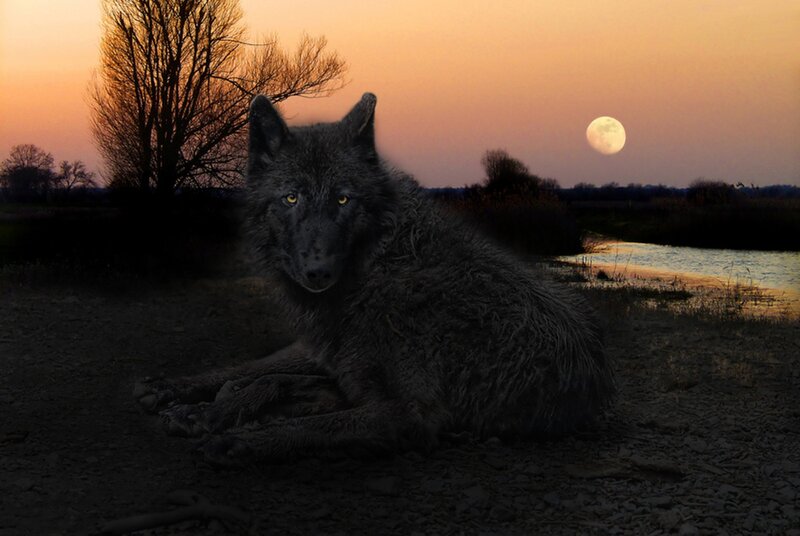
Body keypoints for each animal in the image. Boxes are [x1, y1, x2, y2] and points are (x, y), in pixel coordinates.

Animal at [134, 93, 615, 466]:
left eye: (343, 199)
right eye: (291, 198)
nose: (319, 272)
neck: (375, 265)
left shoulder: (407, 413)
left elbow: (312, 425)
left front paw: (237, 436)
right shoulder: (349, 377)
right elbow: (271, 387)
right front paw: (208, 412)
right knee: (258, 369)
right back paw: (177, 393)